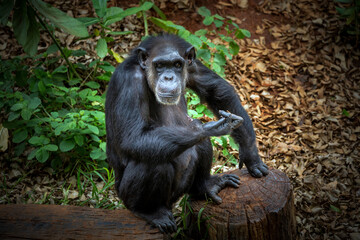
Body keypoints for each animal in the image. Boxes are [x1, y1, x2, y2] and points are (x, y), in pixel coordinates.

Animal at [105, 33, 268, 232]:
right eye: (159, 65)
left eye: (177, 64)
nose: (168, 77)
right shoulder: (128, 81)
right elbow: (133, 136)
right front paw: (207, 127)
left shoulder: (192, 65)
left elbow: (218, 91)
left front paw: (251, 155)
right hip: (127, 196)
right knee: (152, 162)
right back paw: (150, 211)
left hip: (181, 191)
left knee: (200, 143)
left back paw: (206, 186)